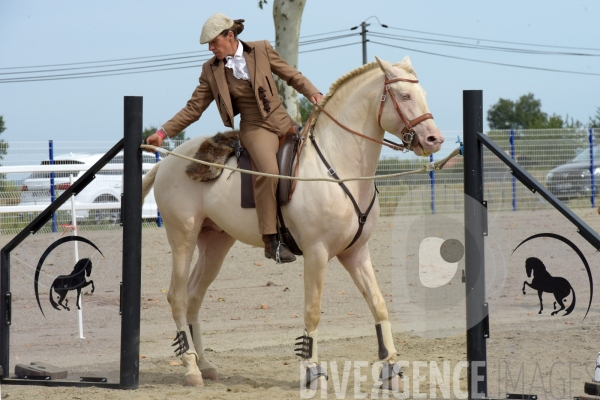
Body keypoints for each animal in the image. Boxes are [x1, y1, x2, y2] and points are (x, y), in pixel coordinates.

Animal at [142, 56, 446, 388]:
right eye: (404, 96)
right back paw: (191, 368)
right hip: (182, 238)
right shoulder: (317, 253)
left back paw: (206, 364)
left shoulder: (356, 253)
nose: (434, 139)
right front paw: (312, 370)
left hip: (215, 243)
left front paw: (390, 367)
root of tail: (169, 161)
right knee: (178, 297)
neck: (337, 167)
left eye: (424, 94)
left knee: (194, 297)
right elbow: (312, 311)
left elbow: (378, 304)